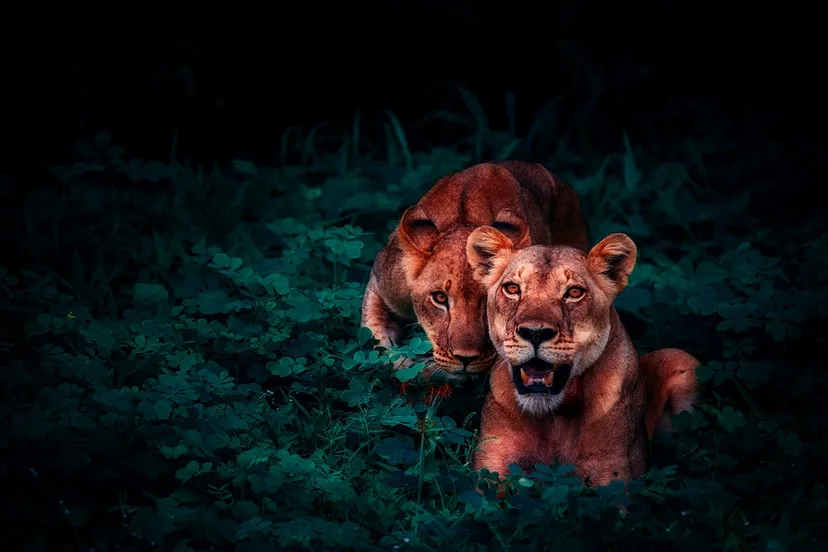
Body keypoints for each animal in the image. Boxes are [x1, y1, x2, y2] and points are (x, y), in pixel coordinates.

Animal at [466, 227, 700, 488]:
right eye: (512, 288)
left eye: (574, 293)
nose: (535, 332)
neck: (554, 417)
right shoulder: (491, 469)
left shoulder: (613, 476)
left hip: (682, 359)